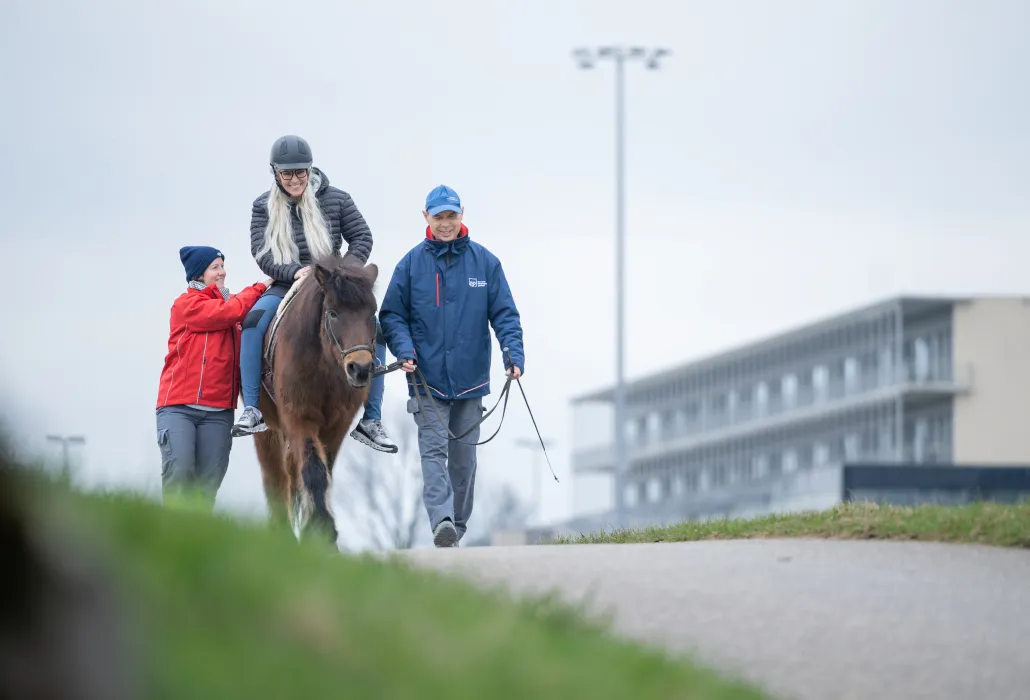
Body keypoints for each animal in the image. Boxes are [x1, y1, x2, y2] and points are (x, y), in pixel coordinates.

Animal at [251, 254, 381, 543]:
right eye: (332, 313)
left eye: (373, 313)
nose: (360, 369)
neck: (324, 365)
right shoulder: (300, 418)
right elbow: (313, 470)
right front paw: (321, 530)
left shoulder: (336, 426)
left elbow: (325, 470)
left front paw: (318, 530)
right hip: (267, 431)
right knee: (276, 480)